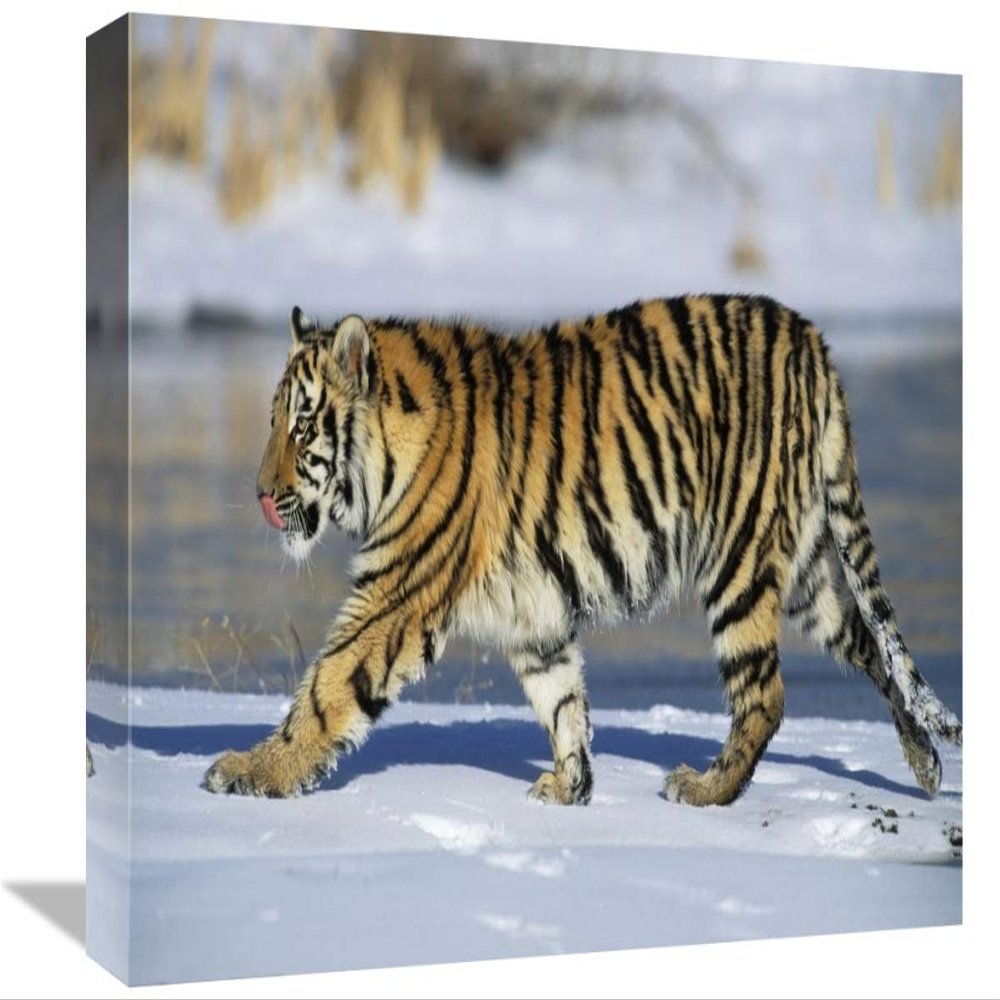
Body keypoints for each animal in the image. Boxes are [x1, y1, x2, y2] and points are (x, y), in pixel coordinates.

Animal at [203, 295, 962, 806]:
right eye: (273, 423)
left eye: (302, 429)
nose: (263, 494)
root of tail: (811, 339)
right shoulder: (533, 615)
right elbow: (563, 700)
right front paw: (572, 789)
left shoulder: (398, 593)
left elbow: (325, 688)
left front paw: (249, 770)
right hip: (805, 572)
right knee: (871, 645)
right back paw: (925, 766)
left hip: (739, 560)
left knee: (766, 695)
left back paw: (704, 788)